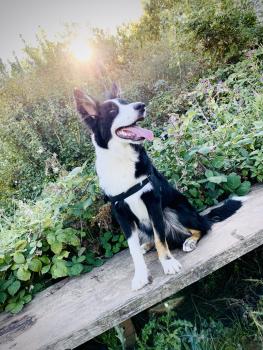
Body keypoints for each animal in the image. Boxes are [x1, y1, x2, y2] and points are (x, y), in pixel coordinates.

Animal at [73, 84, 243, 290]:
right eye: (112, 111)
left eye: (126, 102)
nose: (141, 106)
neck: (122, 159)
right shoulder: (121, 212)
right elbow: (134, 248)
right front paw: (140, 275)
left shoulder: (153, 203)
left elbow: (160, 238)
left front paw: (168, 263)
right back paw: (146, 246)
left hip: (174, 210)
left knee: (203, 228)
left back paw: (189, 241)